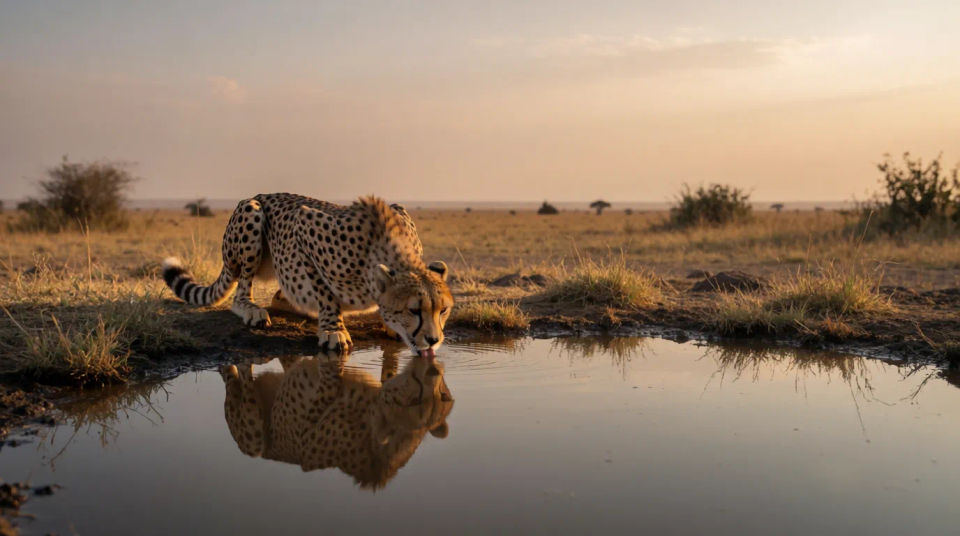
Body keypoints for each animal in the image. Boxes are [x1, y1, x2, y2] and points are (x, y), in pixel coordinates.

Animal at [162, 194, 453, 356]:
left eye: (444, 310)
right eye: (414, 310)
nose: (433, 341)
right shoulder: (303, 225)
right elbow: (325, 293)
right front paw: (333, 329)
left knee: (279, 296)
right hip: (251, 215)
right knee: (241, 292)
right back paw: (252, 309)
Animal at [220, 347, 453, 489]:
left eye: (442, 396)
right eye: (415, 400)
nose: (433, 372)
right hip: (253, 439)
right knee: (237, 381)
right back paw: (236, 365)